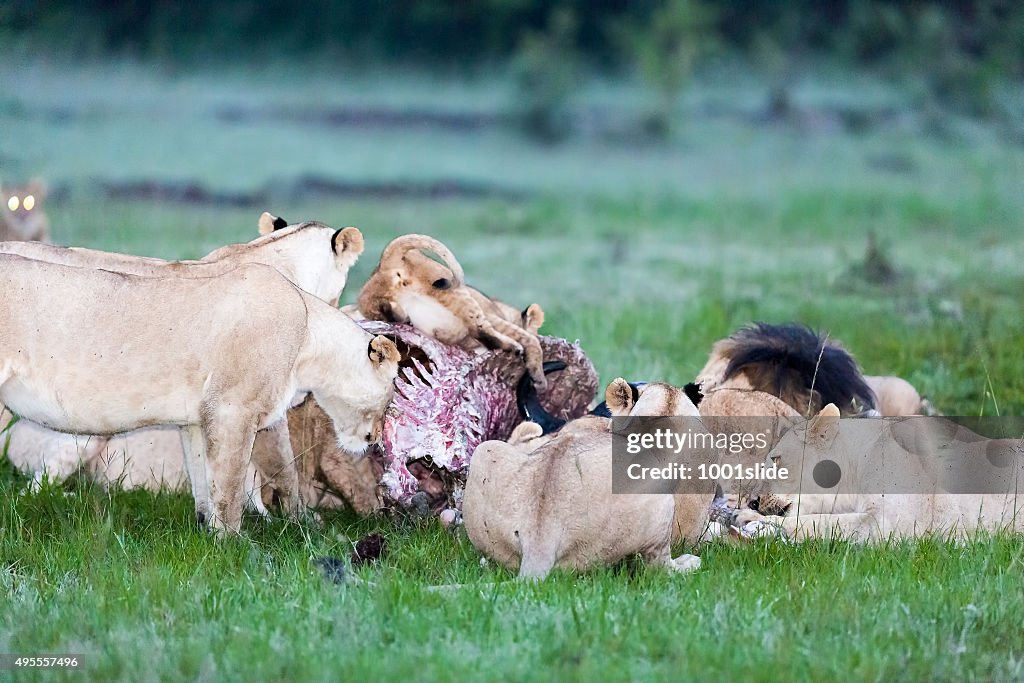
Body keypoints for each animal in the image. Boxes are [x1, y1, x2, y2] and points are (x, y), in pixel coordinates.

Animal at [356, 233, 548, 389]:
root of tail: (385, 261)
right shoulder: (494, 318)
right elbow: (530, 340)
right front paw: (539, 377)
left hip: (368, 300)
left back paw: (395, 313)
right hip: (453, 289)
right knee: (480, 330)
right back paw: (514, 348)